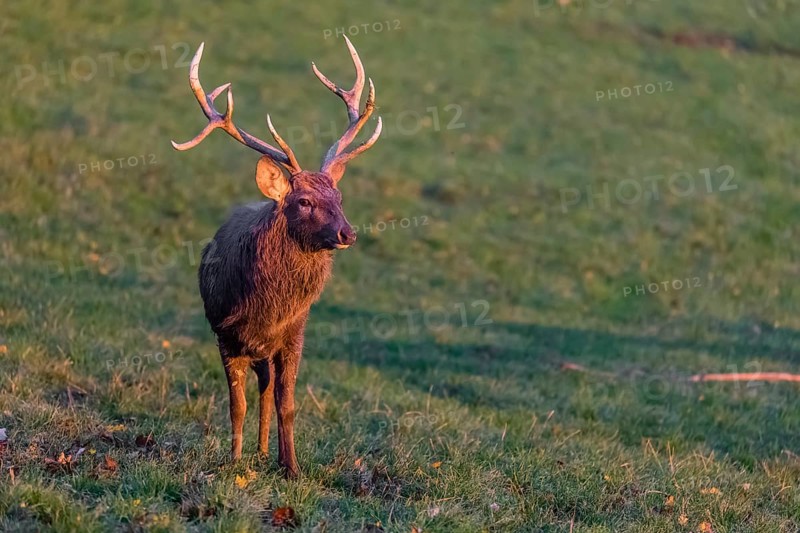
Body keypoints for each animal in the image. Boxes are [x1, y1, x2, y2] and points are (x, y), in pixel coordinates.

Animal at [171, 37, 382, 478]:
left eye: (338, 197)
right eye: (303, 201)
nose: (348, 233)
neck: (267, 307)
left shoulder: (294, 333)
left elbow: (287, 403)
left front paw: (292, 468)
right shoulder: (225, 333)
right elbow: (236, 405)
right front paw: (234, 463)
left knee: (267, 390)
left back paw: (266, 452)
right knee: (257, 391)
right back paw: (255, 453)